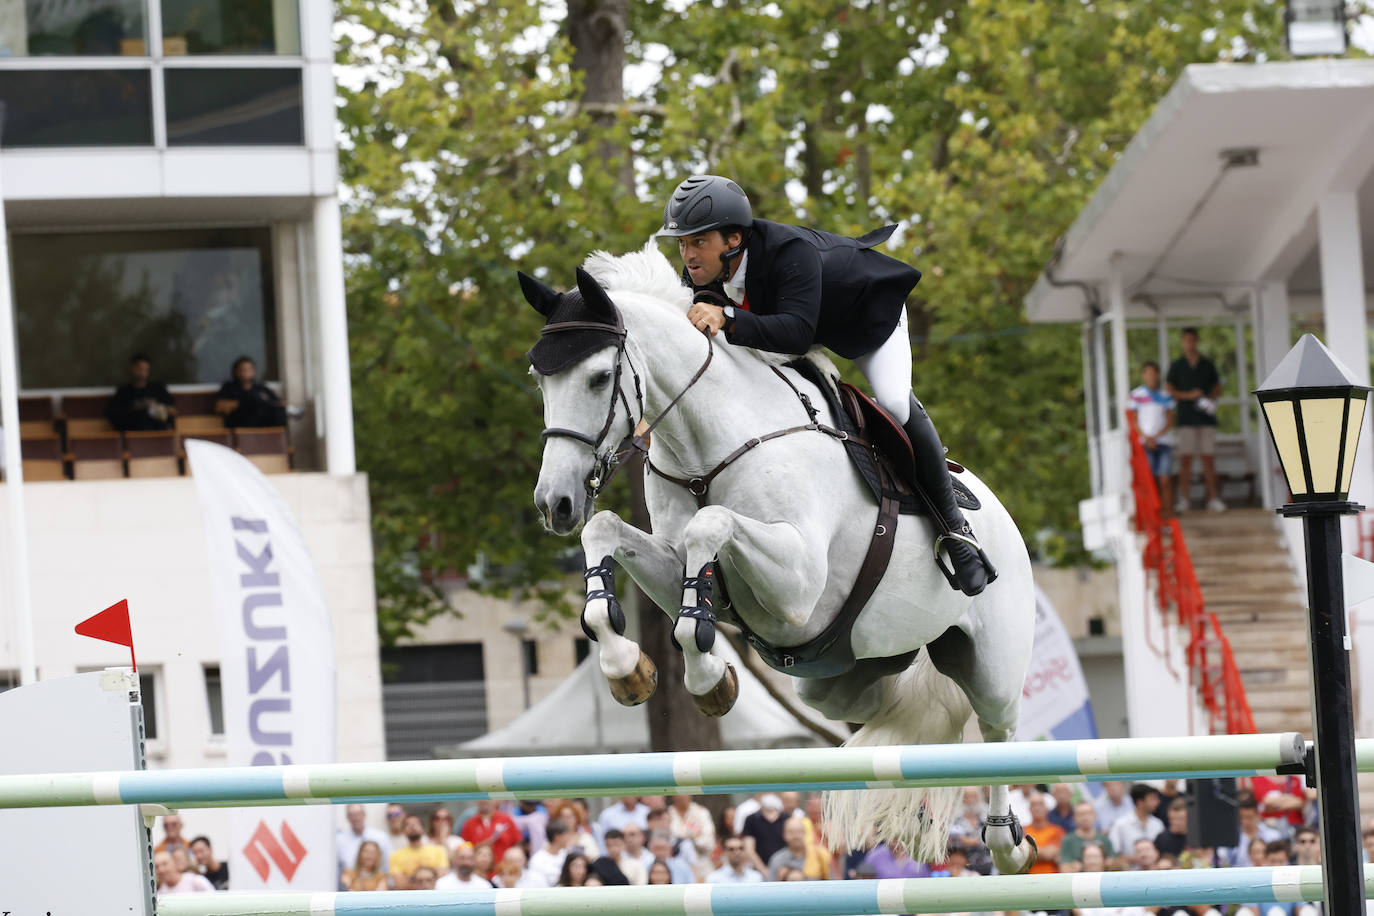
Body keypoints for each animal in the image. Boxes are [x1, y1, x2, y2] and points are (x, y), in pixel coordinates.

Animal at [524, 240, 1038, 873]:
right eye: (539, 380)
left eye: (599, 378)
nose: (555, 503)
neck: (706, 447)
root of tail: (1005, 522)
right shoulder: (685, 568)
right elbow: (608, 531)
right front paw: (632, 667)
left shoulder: (798, 586)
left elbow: (711, 525)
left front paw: (703, 672)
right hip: (838, 674)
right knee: (892, 706)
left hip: (993, 664)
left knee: (997, 731)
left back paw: (1006, 843)